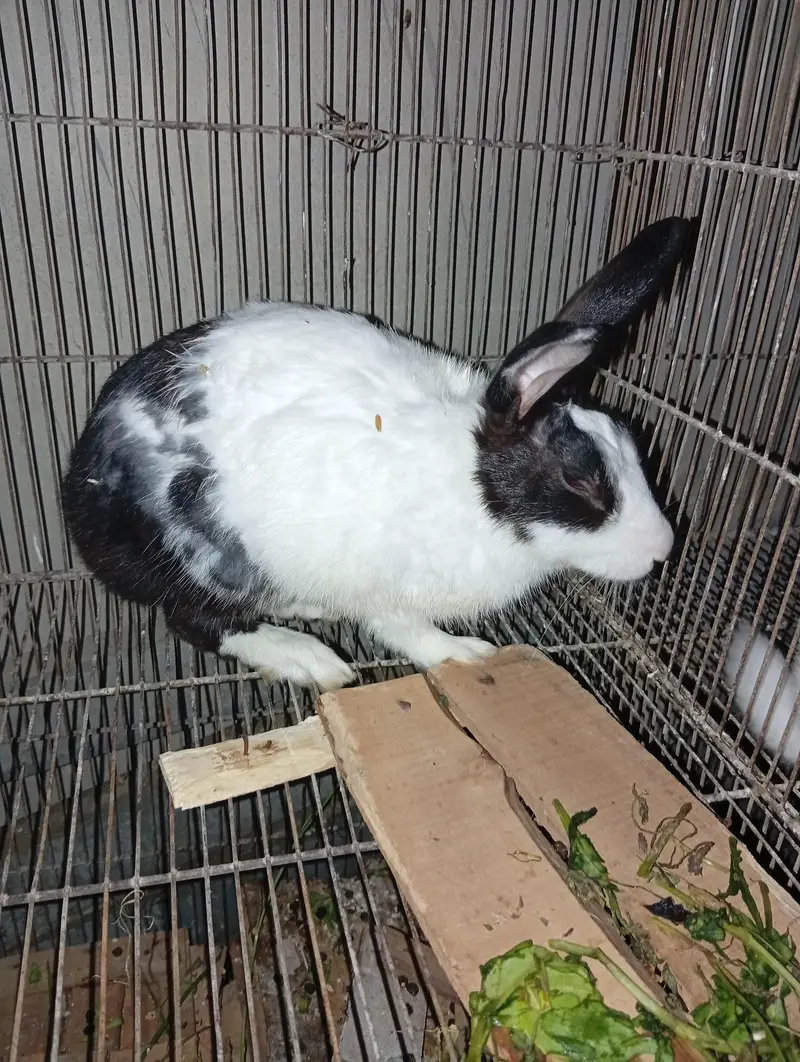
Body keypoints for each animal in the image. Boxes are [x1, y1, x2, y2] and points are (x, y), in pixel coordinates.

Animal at [61, 216, 689, 691]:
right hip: (205, 558)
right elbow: (407, 633)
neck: (468, 488)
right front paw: (468, 653)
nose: (663, 550)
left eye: (632, 444)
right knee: (193, 619)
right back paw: (308, 657)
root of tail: (80, 491)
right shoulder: (386, 591)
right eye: (579, 481)